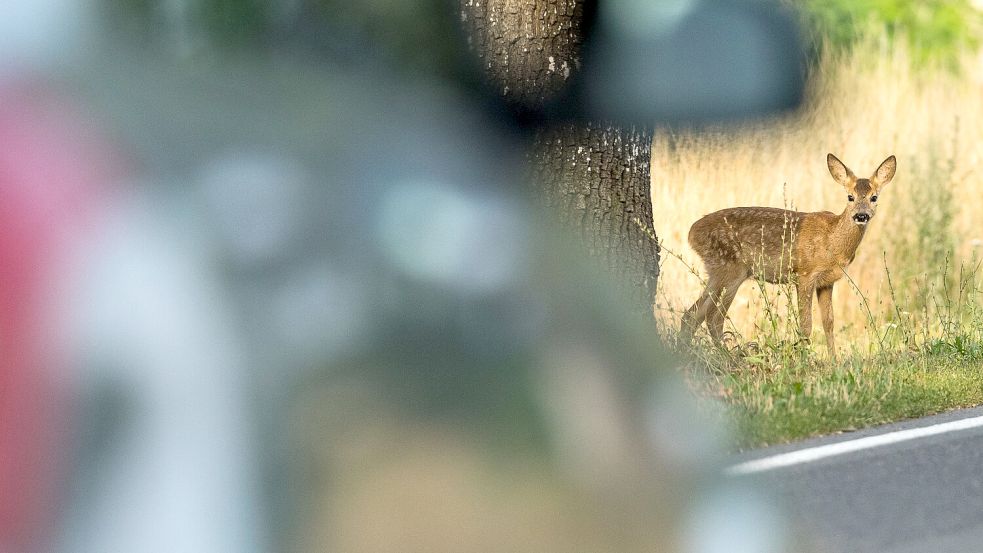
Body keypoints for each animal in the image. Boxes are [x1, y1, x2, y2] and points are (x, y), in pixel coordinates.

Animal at [680, 153, 896, 356]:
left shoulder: (827, 282)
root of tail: (692, 233)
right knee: (713, 317)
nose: (861, 215)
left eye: (874, 197)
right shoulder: (805, 275)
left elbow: (829, 323)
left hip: (716, 272)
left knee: (693, 315)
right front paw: (805, 359)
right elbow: (806, 326)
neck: (832, 241)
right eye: (850, 196)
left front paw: (833, 361)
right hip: (730, 269)